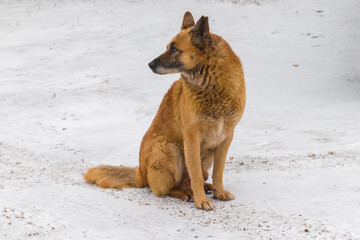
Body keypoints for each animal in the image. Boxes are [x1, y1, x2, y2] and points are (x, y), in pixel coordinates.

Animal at [84, 11, 246, 210]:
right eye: (168, 47)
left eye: (175, 49)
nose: (150, 64)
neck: (213, 87)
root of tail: (140, 173)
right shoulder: (192, 138)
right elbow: (196, 176)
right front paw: (201, 201)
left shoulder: (226, 137)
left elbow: (218, 171)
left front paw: (219, 192)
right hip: (167, 148)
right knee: (164, 189)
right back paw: (185, 193)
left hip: (203, 155)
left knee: (197, 177)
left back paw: (203, 188)